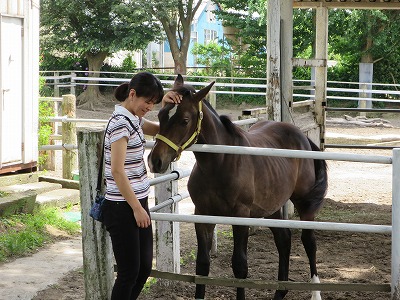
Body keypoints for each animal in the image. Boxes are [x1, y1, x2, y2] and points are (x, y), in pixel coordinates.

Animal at [148, 75, 328, 300]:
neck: (221, 163)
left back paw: (315, 292)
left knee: (309, 242)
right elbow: (202, 265)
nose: (156, 161)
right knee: (284, 239)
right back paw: (280, 291)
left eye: (185, 120)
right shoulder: (203, 216)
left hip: (304, 204)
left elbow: (240, 266)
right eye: (161, 114)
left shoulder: (240, 217)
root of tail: (302, 137)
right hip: (271, 207)